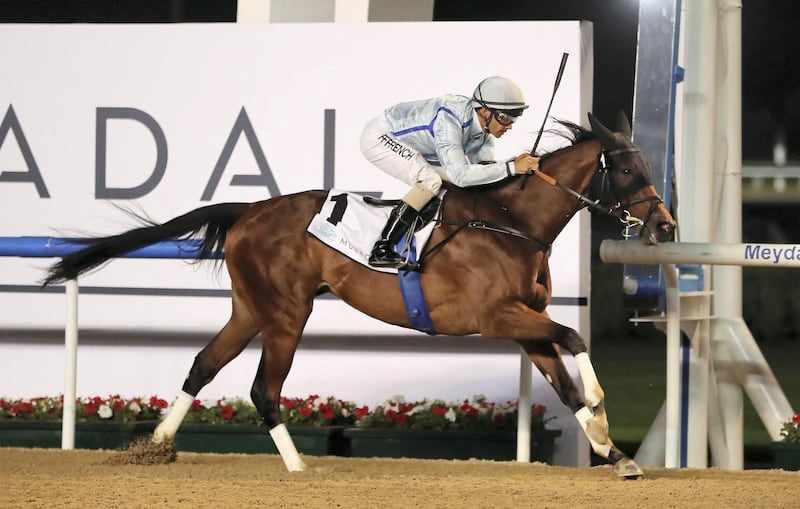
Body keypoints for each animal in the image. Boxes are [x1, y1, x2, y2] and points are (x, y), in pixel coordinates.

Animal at [43, 111, 676, 476]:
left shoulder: (526, 320)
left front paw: (613, 451)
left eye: (648, 163)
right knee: (263, 388)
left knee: (203, 365)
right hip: (286, 313)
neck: (511, 222)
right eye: (625, 170)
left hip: (250, 309)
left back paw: (153, 447)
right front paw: (603, 419)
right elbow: (574, 338)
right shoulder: (498, 318)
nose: (665, 227)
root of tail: (248, 210)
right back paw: (300, 469)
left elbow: (565, 380)